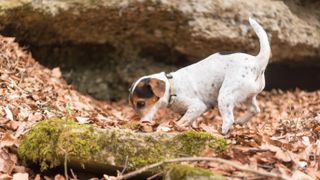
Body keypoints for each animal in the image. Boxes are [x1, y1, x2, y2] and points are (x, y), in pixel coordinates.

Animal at [129, 17, 272, 134]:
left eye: (141, 103)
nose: (141, 123)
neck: (171, 86)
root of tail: (257, 62)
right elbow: (189, 120)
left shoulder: (197, 106)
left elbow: (181, 121)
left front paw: (171, 127)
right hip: (248, 96)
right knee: (255, 109)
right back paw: (241, 121)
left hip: (225, 96)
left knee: (229, 119)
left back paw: (221, 132)